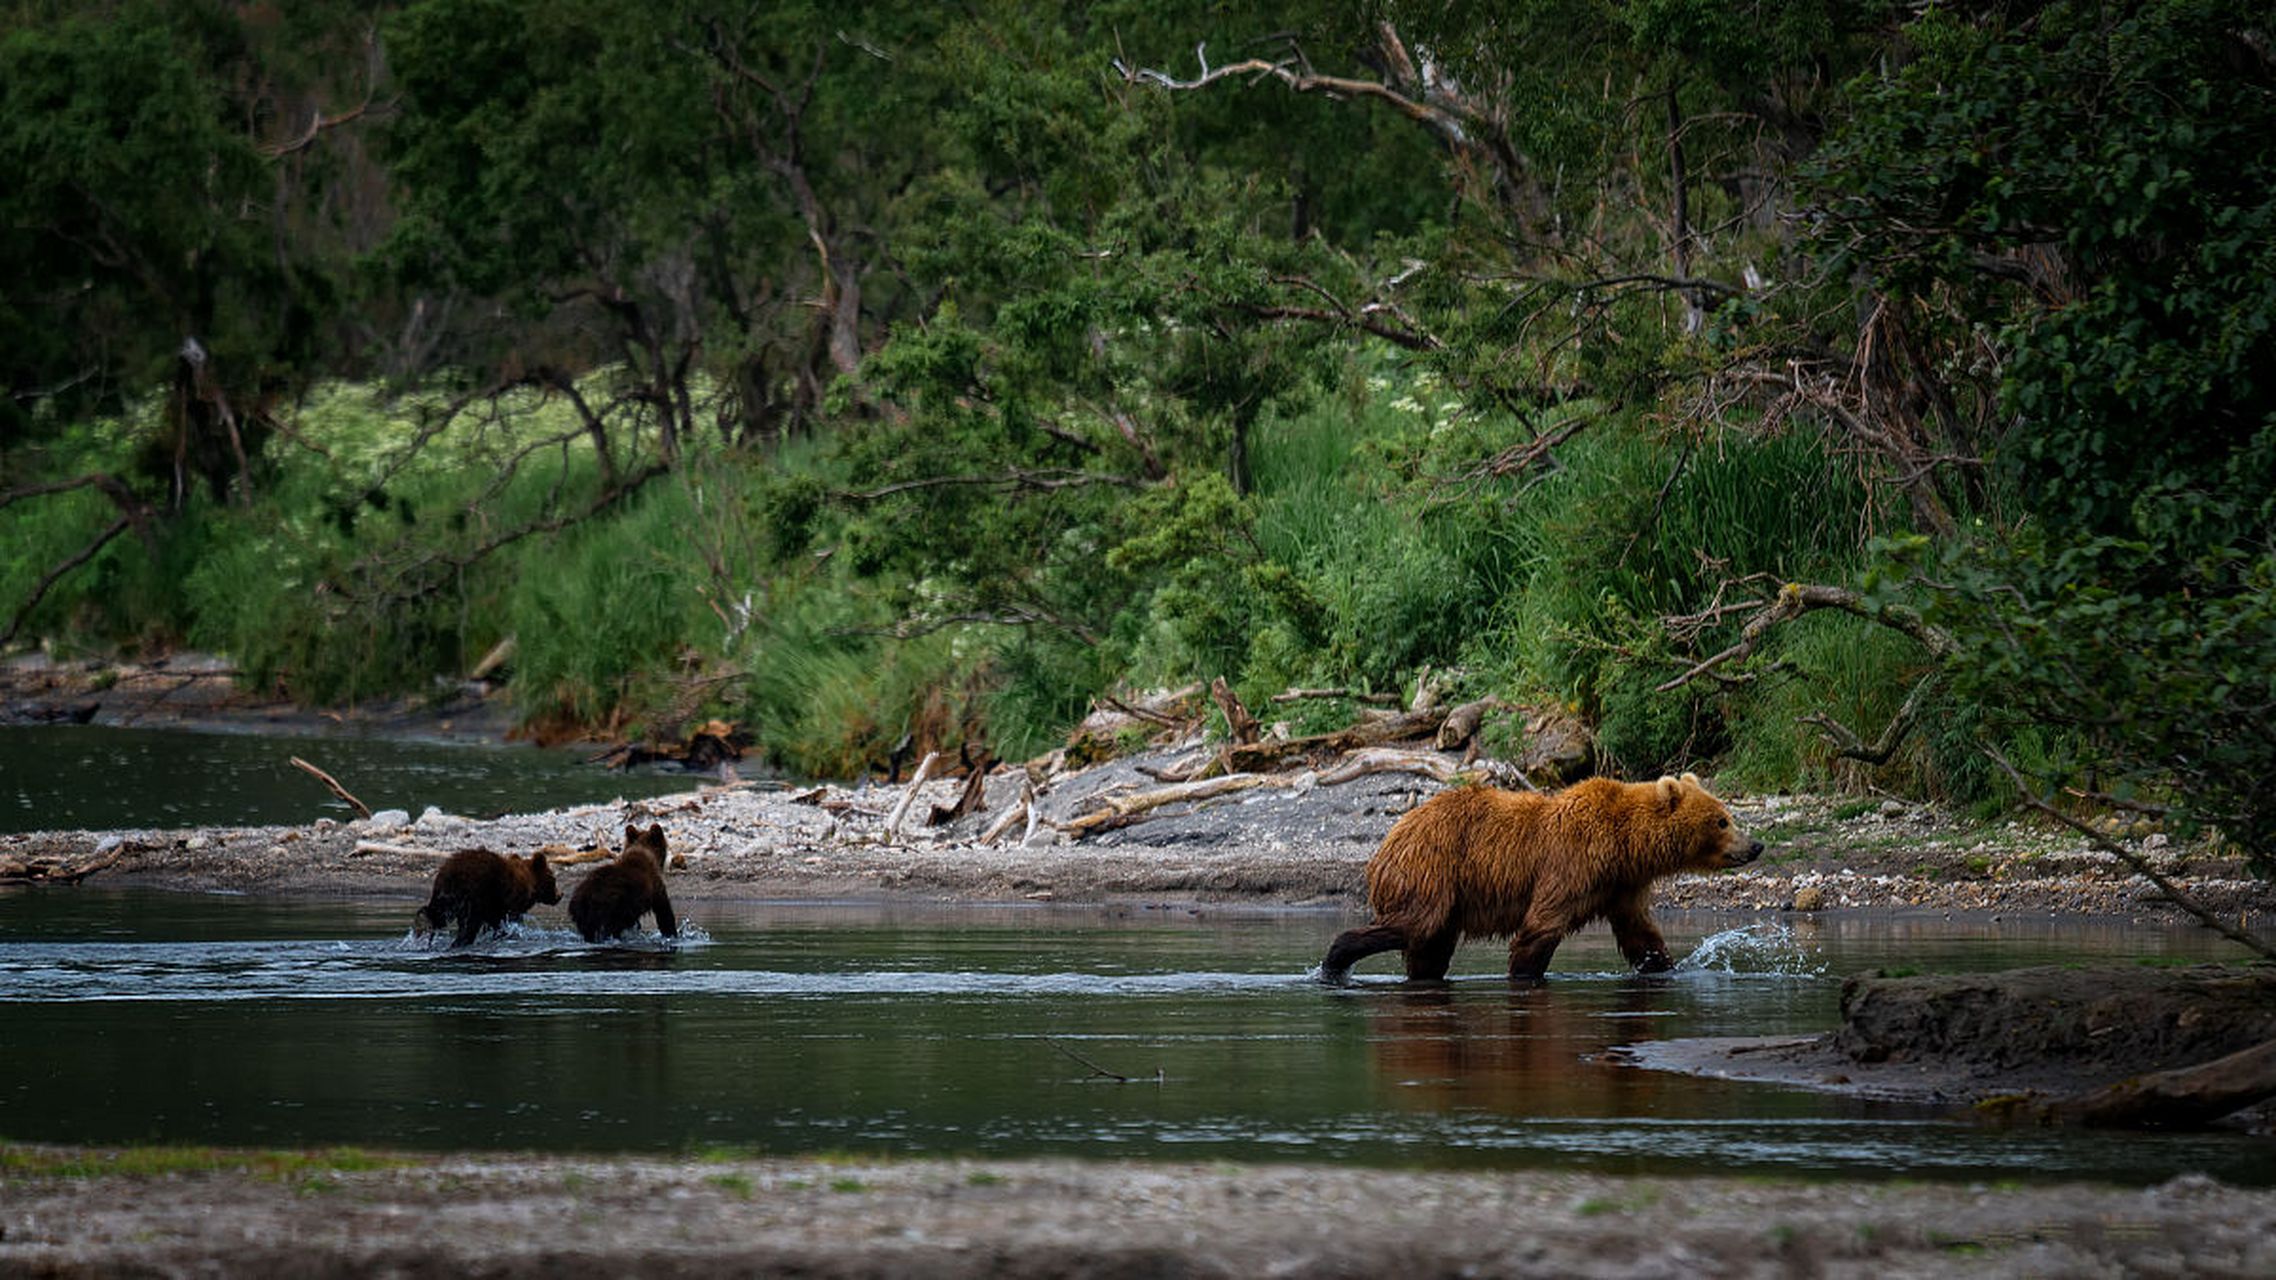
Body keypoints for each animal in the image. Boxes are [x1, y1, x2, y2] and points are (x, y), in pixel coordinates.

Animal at [409, 847, 555, 947]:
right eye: (553, 879)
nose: (558, 896)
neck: (530, 883)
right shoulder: (507, 900)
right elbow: (509, 920)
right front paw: (509, 934)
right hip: (474, 894)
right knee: (469, 923)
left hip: (447, 898)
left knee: (440, 916)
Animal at [1320, 774, 1757, 979]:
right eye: (1721, 820)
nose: (1756, 845)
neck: (1624, 845)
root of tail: (1387, 842)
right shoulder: (1572, 864)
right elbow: (1541, 927)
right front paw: (1524, 972)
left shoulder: (1621, 885)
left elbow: (1640, 934)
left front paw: (1665, 965)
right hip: (1431, 870)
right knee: (1414, 924)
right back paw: (1335, 960)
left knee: (1430, 948)